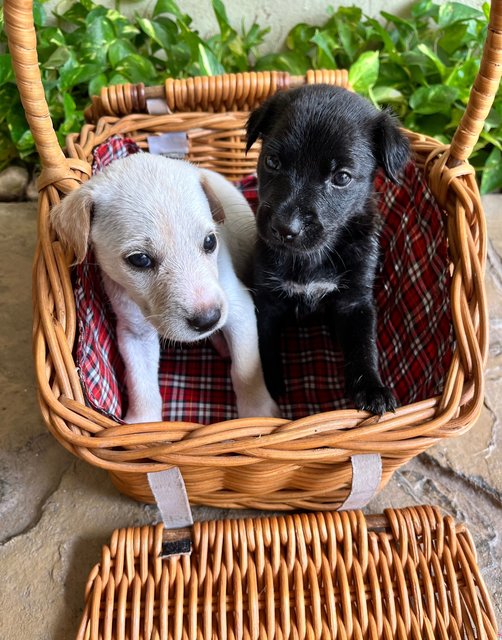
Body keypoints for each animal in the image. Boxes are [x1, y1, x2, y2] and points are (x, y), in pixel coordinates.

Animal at [52, 153, 278, 422]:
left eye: (210, 242)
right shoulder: (134, 332)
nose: (208, 320)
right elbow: (141, 380)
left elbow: (244, 366)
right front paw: (142, 423)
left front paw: (258, 413)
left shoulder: (238, 305)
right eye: (140, 259)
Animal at [245, 85, 410, 416]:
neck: (311, 258)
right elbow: (263, 341)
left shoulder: (355, 301)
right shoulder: (266, 299)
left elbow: (363, 344)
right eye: (272, 162)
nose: (285, 228)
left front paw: (372, 388)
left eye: (342, 177)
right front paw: (267, 384)